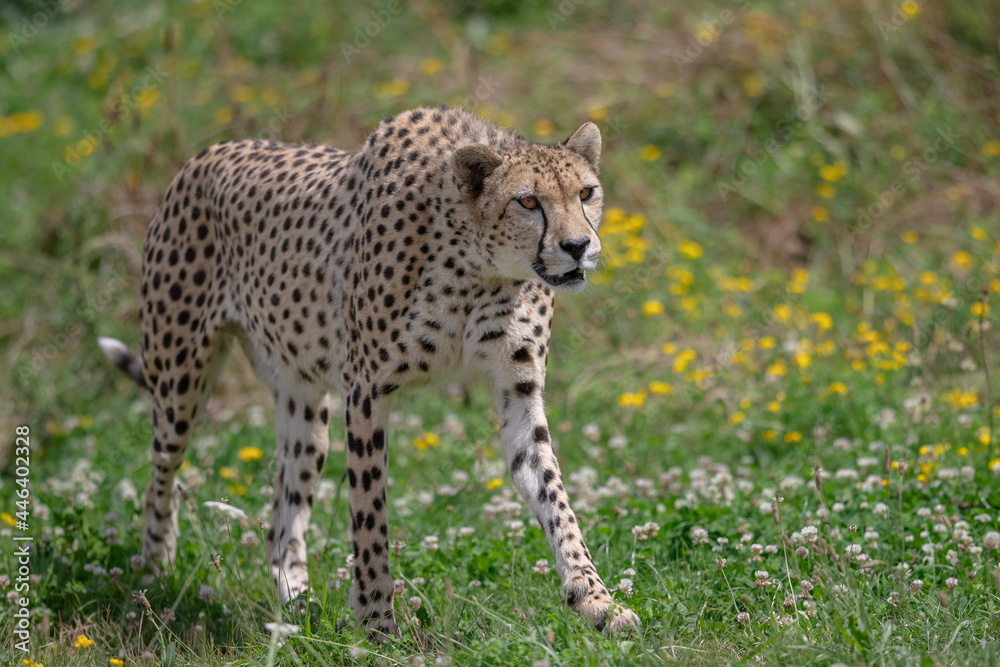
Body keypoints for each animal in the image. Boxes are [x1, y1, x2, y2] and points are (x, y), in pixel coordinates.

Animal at [98, 106, 640, 638]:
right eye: (528, 202)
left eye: (585, 193)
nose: (577, 246)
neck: (479, 268)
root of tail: (206, 155)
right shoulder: (365, 389)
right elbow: (369, 511)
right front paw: (378, 624)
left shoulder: (518, 388)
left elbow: (553, 493)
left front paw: (596, 600)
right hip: (179, 382)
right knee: (160, 473)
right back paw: (154, 570)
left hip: (305, 410)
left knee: (280, 516)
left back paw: (297, 604)